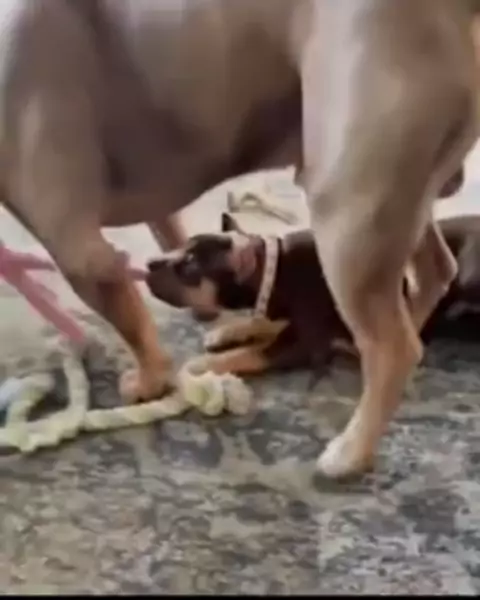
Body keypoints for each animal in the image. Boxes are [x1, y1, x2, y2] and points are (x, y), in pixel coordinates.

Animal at [3, 0, 480, 477]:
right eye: (185, 261)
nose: (153, 269)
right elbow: (175, 239)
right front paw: (217, 317)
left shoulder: (80, 251)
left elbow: (135, 327)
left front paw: (152, 379)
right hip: (399, 201)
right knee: (431, 275)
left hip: (349, 214)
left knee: (394, 347)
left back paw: (351, 450)